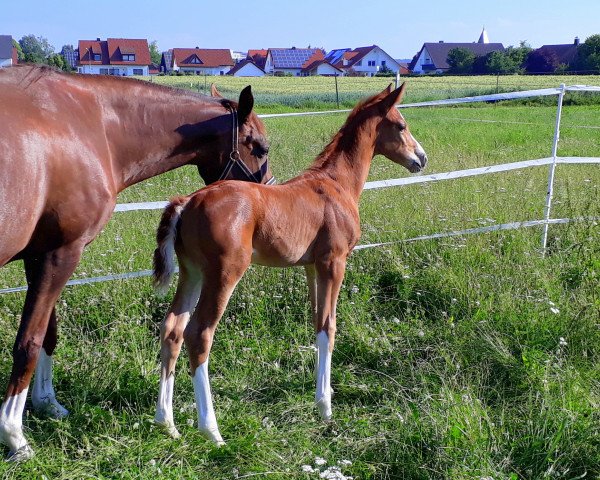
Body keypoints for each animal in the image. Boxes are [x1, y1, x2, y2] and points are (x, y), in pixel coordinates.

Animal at [0, 65, 274, 460]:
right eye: (261, 147)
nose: (265, 197)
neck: (92, 127)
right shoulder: (63, 253)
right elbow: (29, 341)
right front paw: (15, 434)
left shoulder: (40, 255)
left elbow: (47, 333)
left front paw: (47, 402)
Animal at [152, 82, 428, 442]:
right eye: (401, 125)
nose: (420, 158)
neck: (336, 184)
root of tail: (188, 201)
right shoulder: (333, 262)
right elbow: (329, 326)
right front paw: (325, 408)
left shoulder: (311, 266)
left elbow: (316, 322)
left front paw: (320, 396)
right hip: (224, 273)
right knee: (199, 334)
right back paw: (211, 430)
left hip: (192, 272)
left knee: (172, 328)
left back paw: (167, 423)